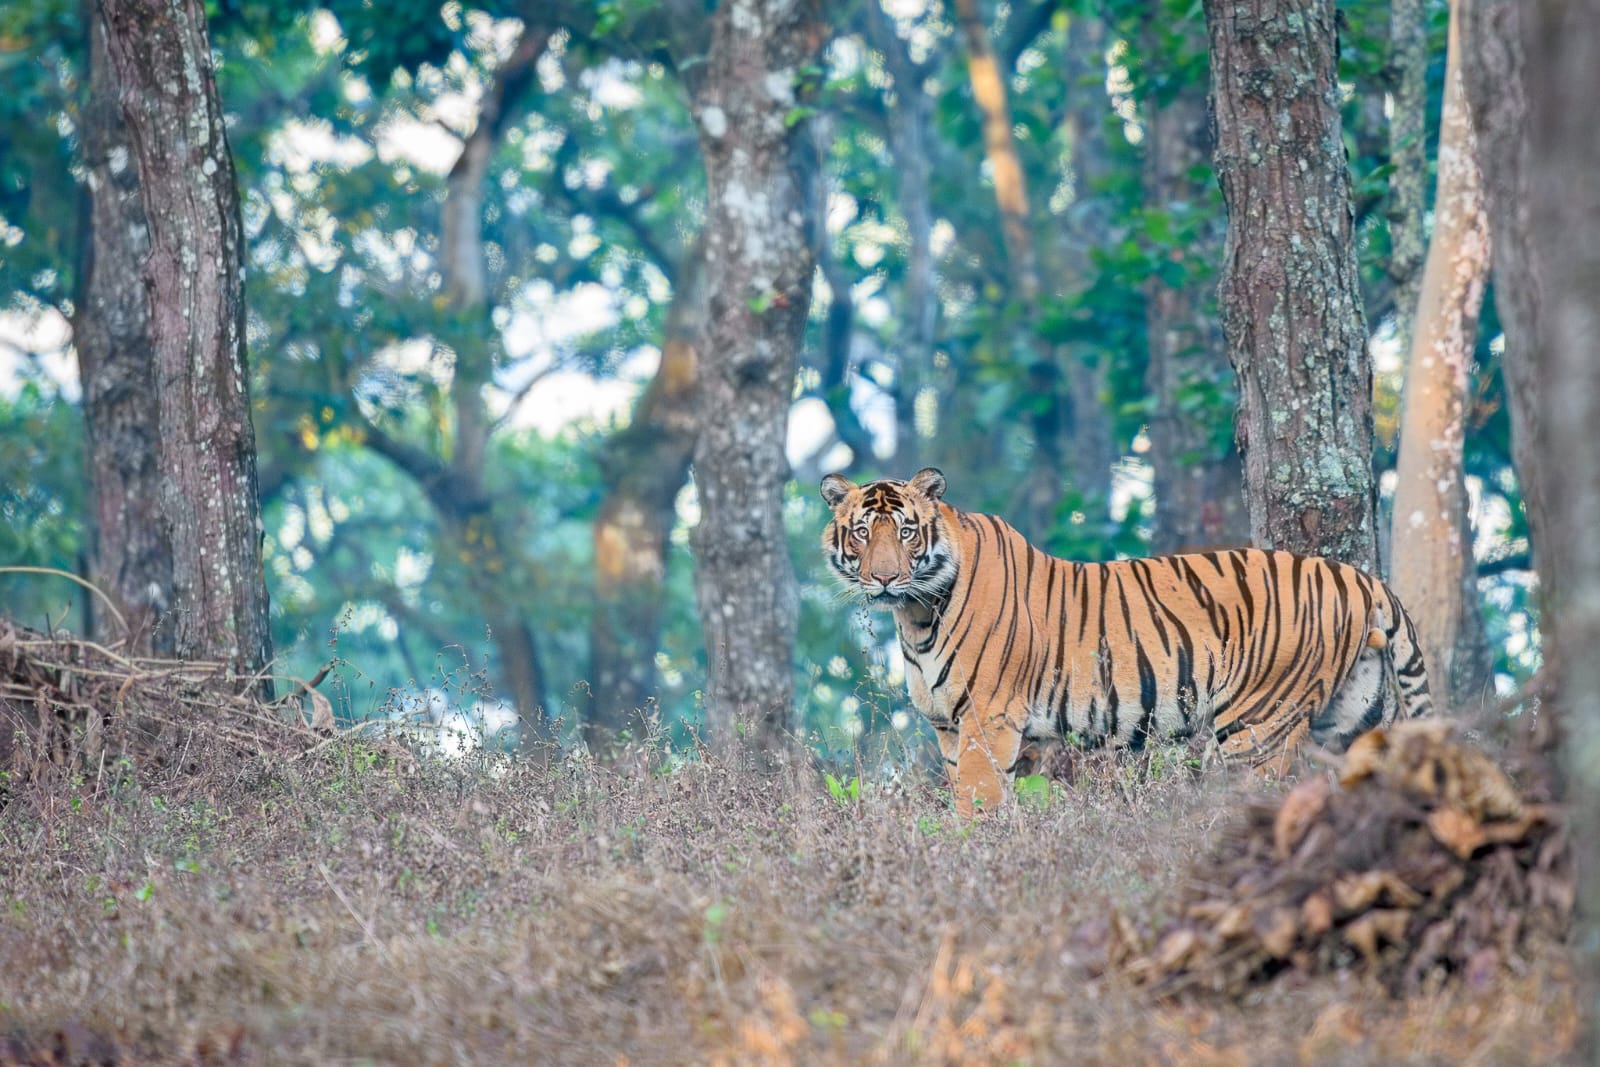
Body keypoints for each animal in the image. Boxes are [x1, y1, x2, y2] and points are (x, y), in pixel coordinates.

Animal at [819, 470, 1433, 819]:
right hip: (1354, 717)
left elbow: (978, 801)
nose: (883, 579)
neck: (917, 613)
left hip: (1256, 728)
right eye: (861, 533)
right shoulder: (949, 726)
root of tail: (1359, 578)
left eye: (905, 532)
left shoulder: (986, 721)